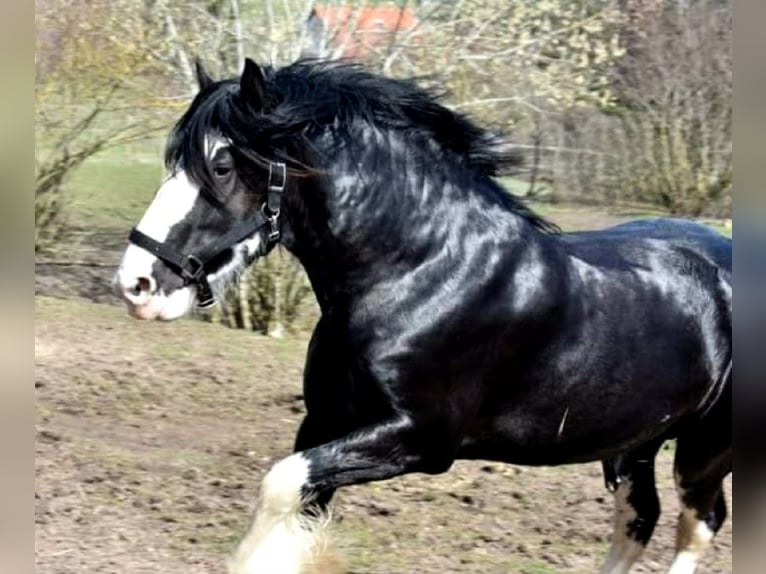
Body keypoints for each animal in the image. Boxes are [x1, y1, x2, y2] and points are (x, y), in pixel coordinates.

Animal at [112, 59, 732, 574]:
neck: (421, 271)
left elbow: (281, 485)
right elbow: (300, 504)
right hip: (636, 443)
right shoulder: (326, 421)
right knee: (639, 519)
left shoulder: (420, 440)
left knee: (698, 525)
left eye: (219, 165)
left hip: (702, 450)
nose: (136, 284)